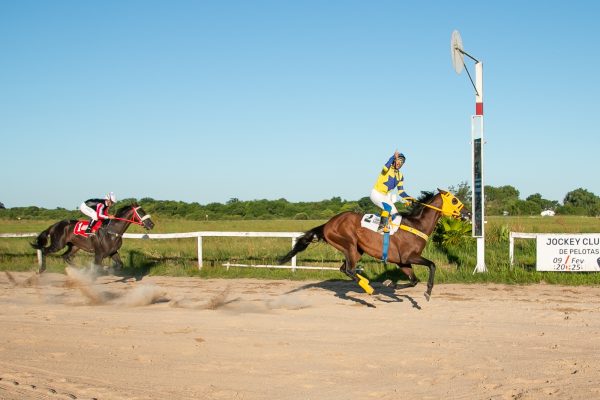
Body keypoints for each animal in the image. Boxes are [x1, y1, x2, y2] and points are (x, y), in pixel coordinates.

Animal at [278, 191, 472, 300]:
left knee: (344, 269)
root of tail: (327, 224)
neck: (417, 225)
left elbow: (414, 281)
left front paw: (390, 284)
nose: (468, 213)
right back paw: (370, 288)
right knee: (349, 269)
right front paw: (427, 292)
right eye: (454, 200)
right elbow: (432, 265)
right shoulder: (410, 256)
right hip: (348, 244)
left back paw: (367, 284)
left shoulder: (402, 261)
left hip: (356, 250)